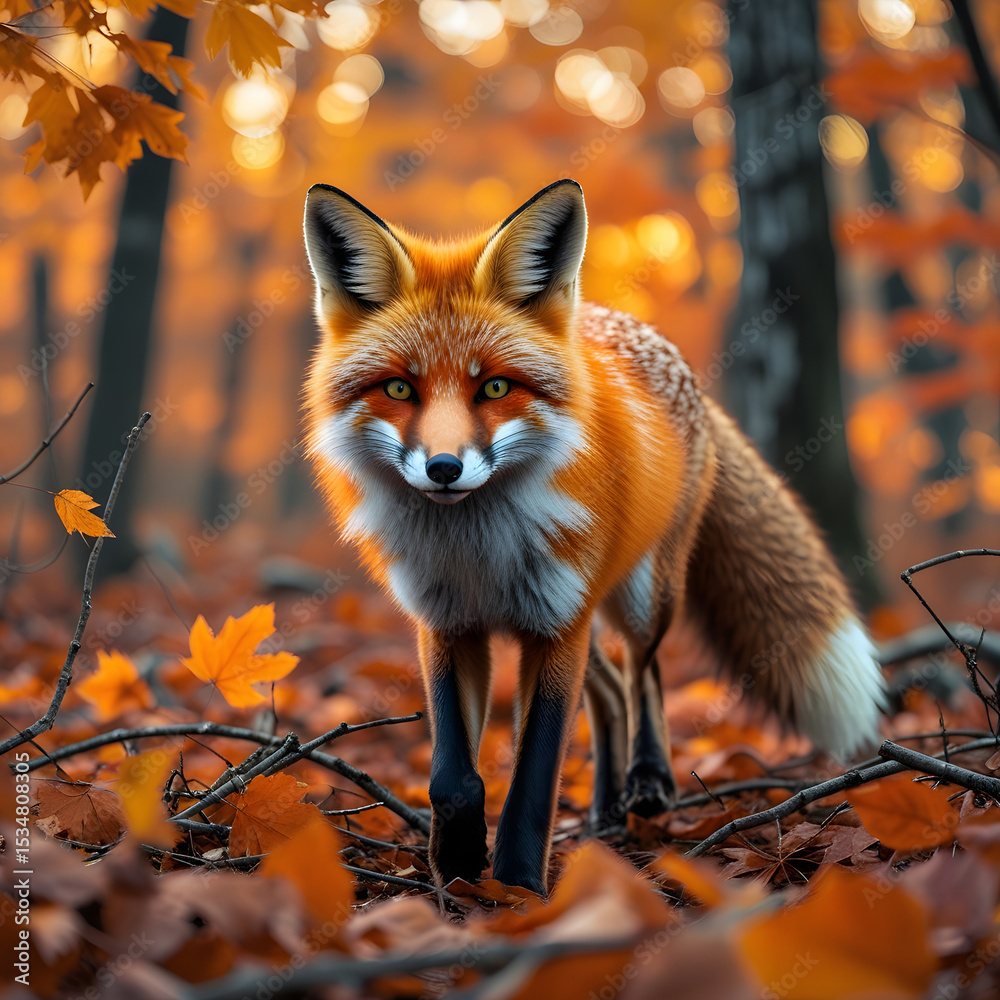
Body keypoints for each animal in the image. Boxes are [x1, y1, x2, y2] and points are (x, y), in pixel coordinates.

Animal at [302, 179, 887, 897]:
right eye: (398, 388)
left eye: (494, 386)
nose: (443, 468)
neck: (478, 553)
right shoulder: (447, 625)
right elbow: (453, 778)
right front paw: (459, 867)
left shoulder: (557, 624)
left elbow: (534, 776)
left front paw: (518, 888)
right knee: (608, 692)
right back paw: (607, 808)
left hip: (639, 597)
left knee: (643, 672)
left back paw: (648, 782)